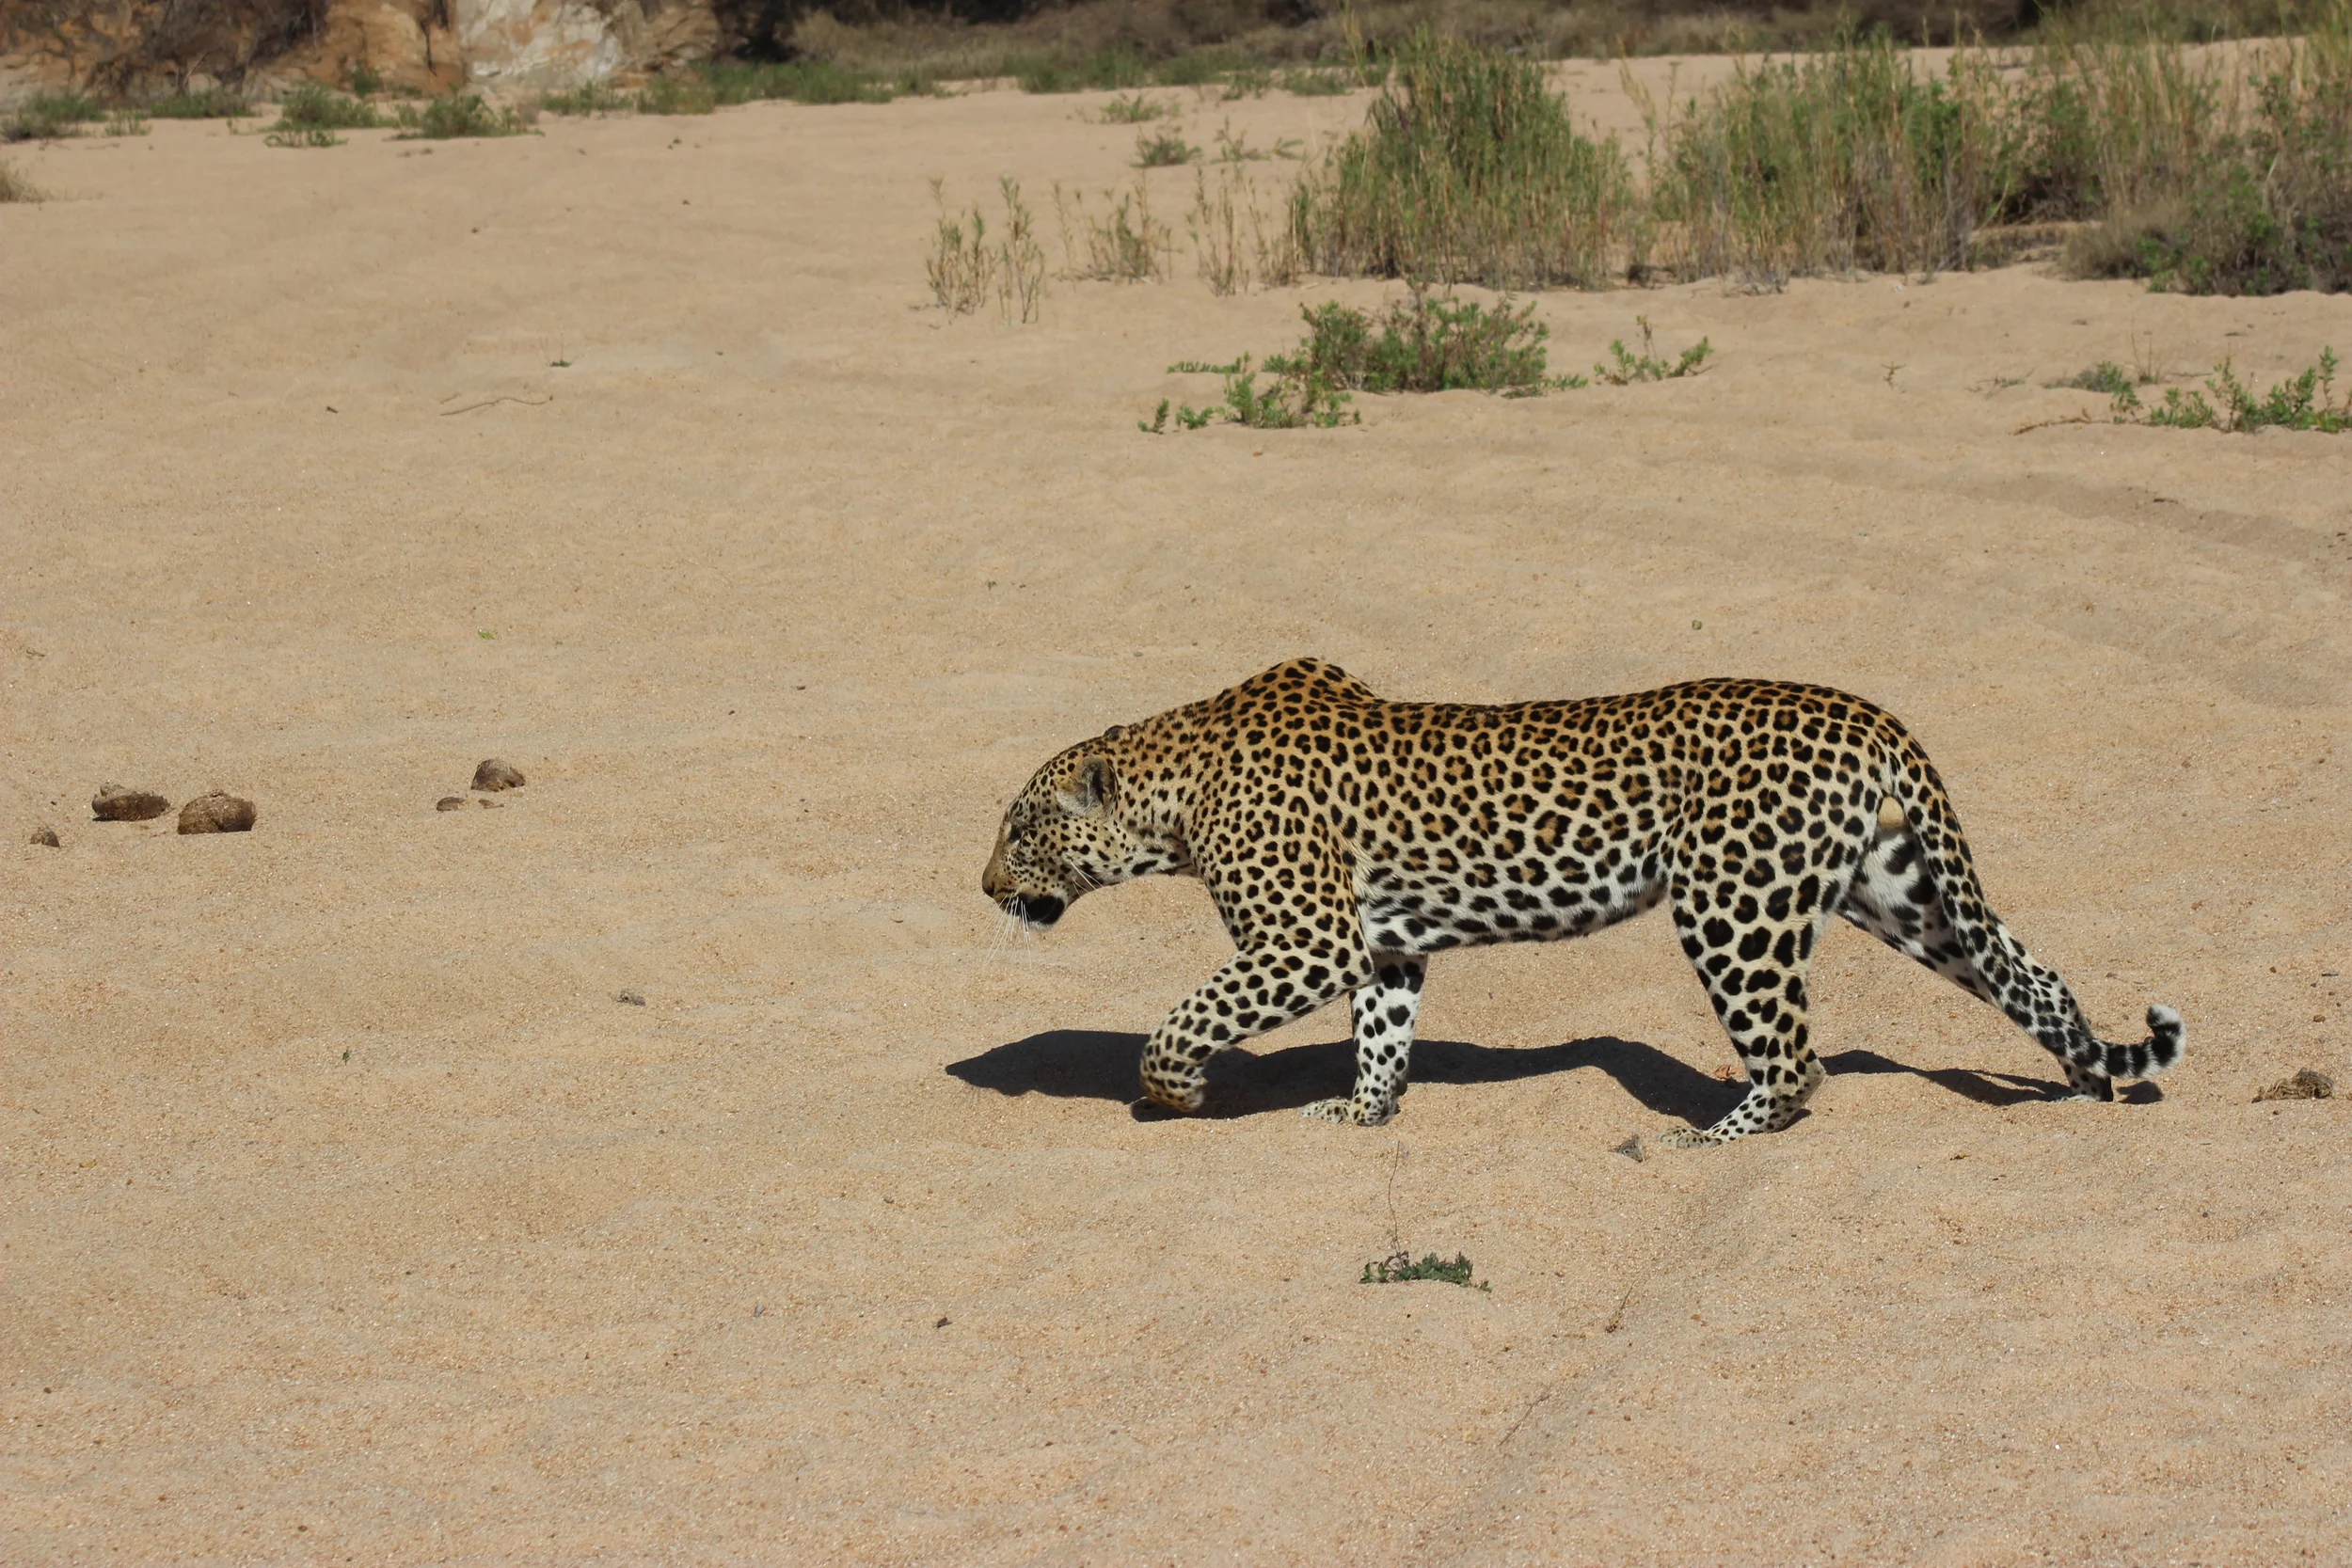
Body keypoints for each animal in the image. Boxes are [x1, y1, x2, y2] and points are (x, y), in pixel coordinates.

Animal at [980, 658, 2184, 1145]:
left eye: (1019, 826)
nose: (984, 886)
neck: (1172, 794)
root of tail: (1867, 711)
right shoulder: (1382, 946)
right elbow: (1383, 1035)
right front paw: (1364, 1114)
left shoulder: (1305, 941)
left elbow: (1177, 1021)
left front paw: (1176, 1094)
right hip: (1899, 890)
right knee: (2033, 976)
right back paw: (2089, 1081)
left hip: (1731, 903)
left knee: (1797, 1058)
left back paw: (1708, 1135)